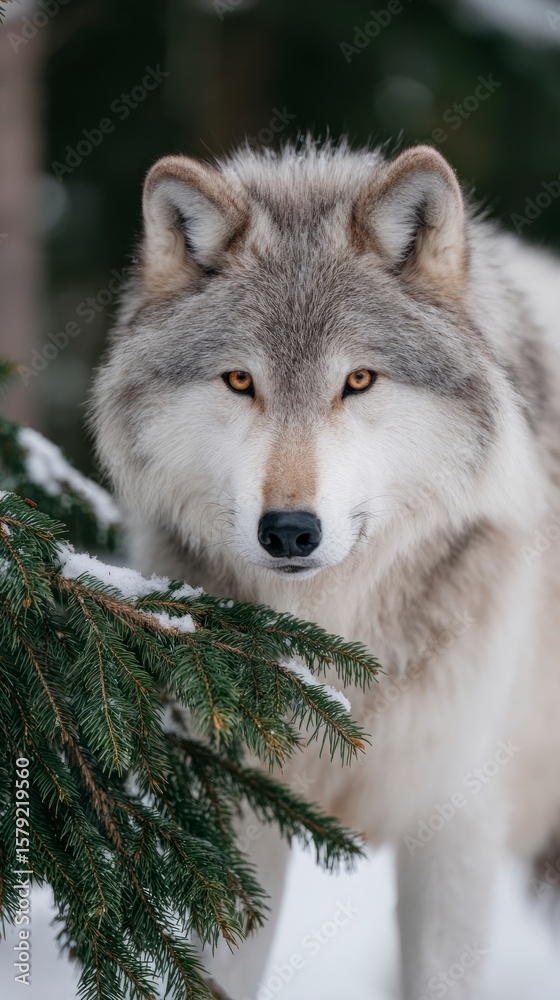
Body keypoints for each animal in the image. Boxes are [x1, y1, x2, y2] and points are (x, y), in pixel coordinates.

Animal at [91, 140, 560, 999]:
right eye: (241, 380)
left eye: (359, 380)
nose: (289, 531)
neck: (335, 648)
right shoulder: (242, 804)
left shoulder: (457, 818)